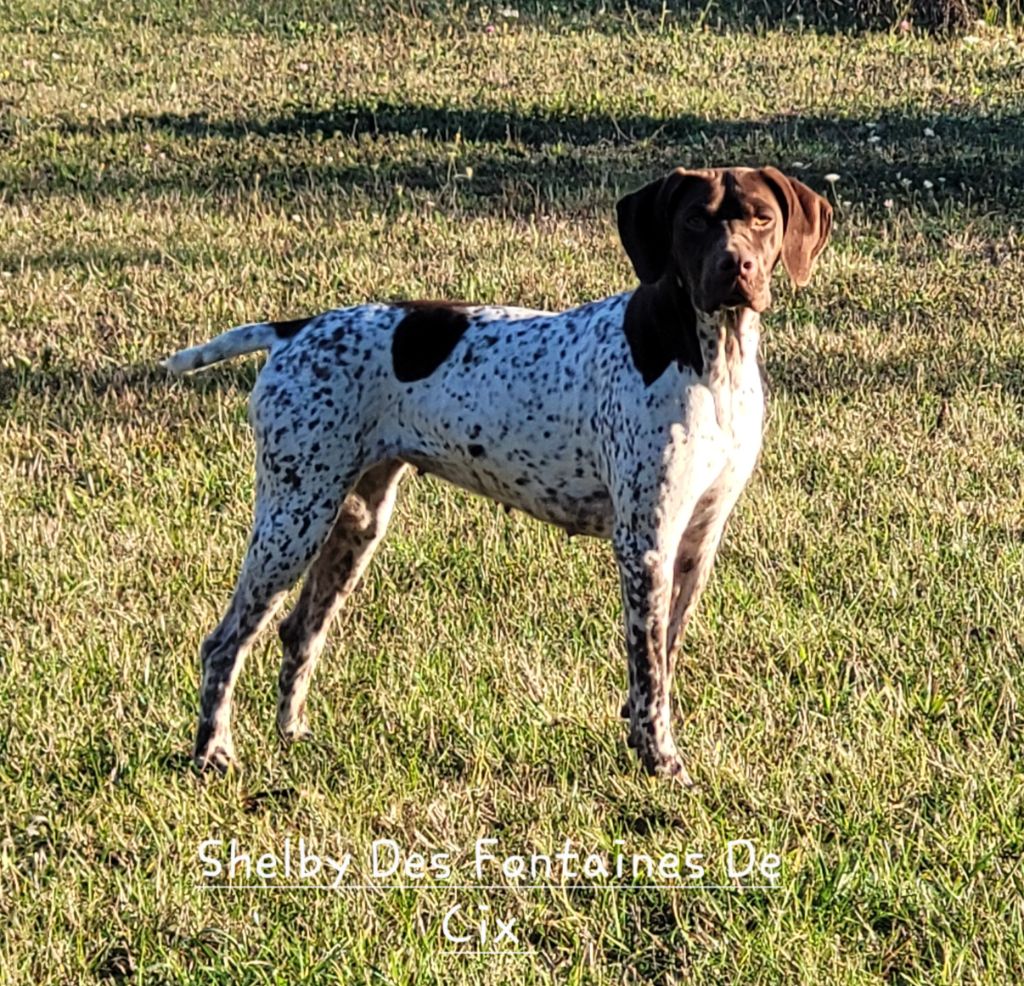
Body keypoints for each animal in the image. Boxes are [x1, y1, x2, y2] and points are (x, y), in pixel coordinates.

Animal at [161, 169, 831, 786]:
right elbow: (648, 672)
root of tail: (295, 329)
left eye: (762, 218)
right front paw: (660, 760)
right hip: (293, 519)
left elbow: (662, 658)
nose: (737, 266)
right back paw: (212, 751)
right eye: (694, 220)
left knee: (299, 631)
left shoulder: (696, 540)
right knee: (223, 644)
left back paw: (294, 735)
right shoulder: (646, 544)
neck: (712, 358)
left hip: (354, 523)